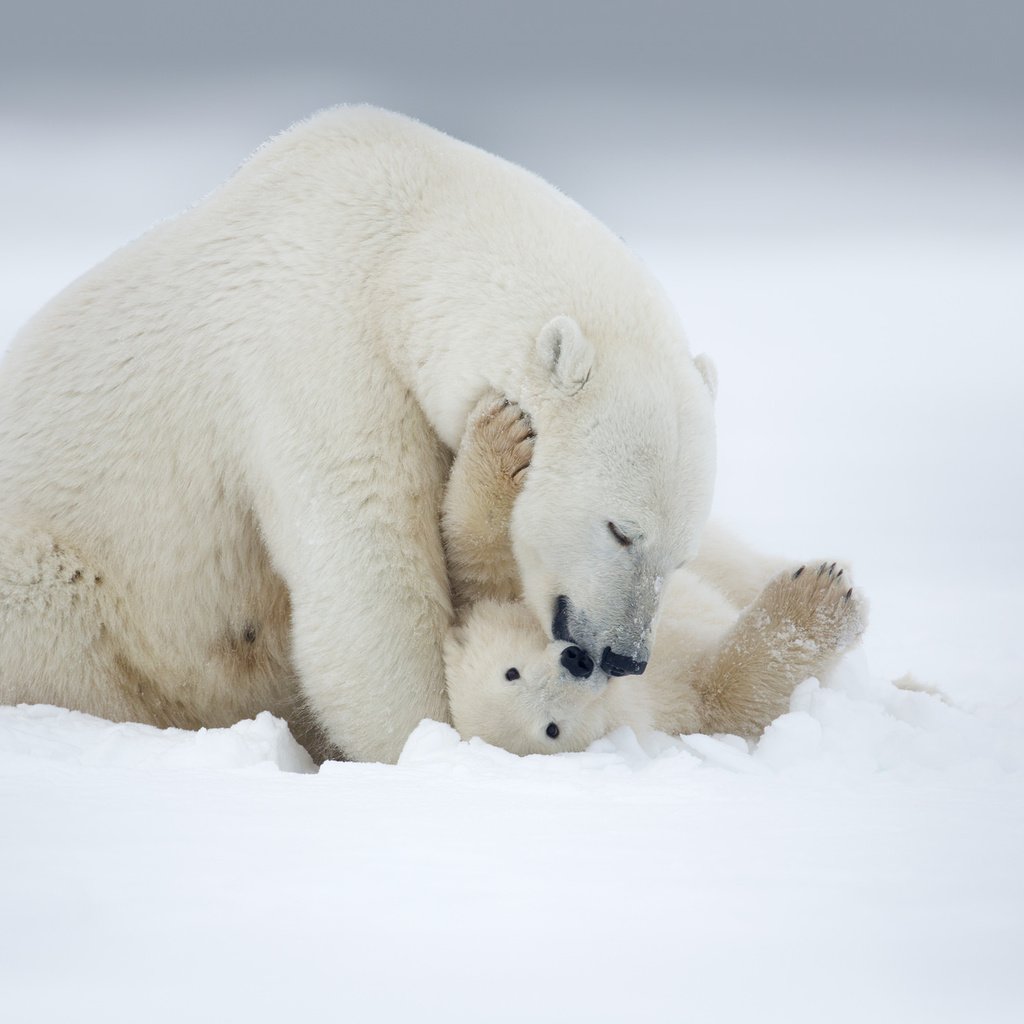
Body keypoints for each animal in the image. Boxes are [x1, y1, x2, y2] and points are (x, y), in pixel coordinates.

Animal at [0, 105, 716, 761]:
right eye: (620, 530)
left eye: (681, 555)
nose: (624, 656)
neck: (401, 244)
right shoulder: (319, 356)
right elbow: (369, 572)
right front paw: (430, 741)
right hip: (60, 582)